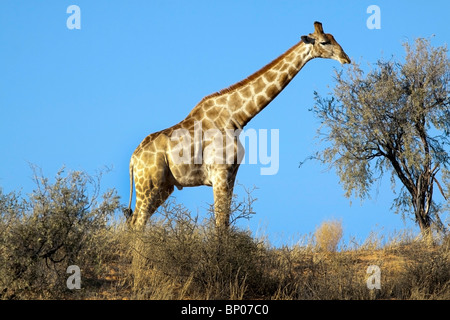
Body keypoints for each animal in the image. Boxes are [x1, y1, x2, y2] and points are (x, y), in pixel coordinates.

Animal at [124, 22, 352, 231]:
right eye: (324, 42)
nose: (346, 58)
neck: (237, 117)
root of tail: (133, 160)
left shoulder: (232, 174)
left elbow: (224, 222)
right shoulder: (220, 172)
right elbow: (220, 224)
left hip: (164, 186)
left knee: (135, 222)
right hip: (149, 185)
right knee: (137, 223)